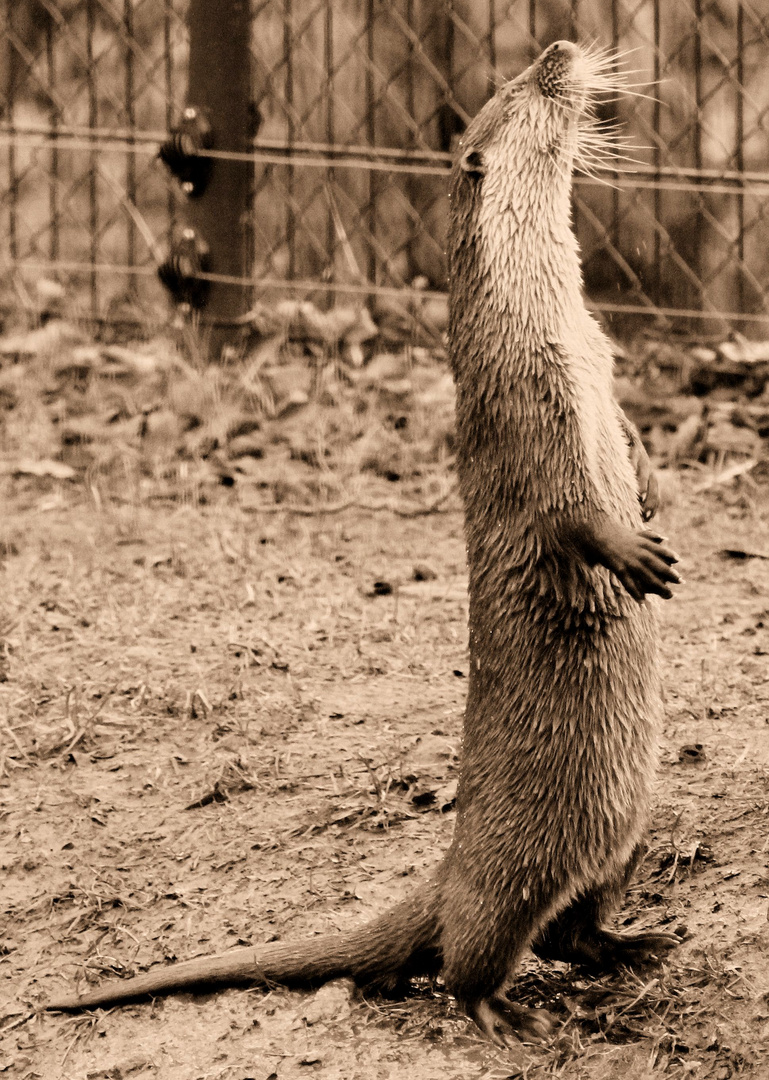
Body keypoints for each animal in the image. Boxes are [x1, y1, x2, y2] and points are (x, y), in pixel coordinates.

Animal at [46, 42, 678, 1045]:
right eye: (525, 90)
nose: (559, 50)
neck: (548, 317)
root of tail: (447, 870)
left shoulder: (601, 362)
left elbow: (628, 433)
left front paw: (652, 490)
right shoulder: (519, 398)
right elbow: (562, 509)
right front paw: (630, 549)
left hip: (623, 829)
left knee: (571, 929)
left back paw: (632, 944)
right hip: (512, 870)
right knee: (474, 947)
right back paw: (497, 1012)